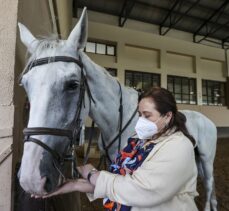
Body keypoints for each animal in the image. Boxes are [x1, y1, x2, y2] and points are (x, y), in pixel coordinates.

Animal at [17, 7, 216, 211]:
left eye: (72, 84)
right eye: (25, 84)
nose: (31, 180)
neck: (116, 122)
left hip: (207, 159)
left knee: (209, 184)